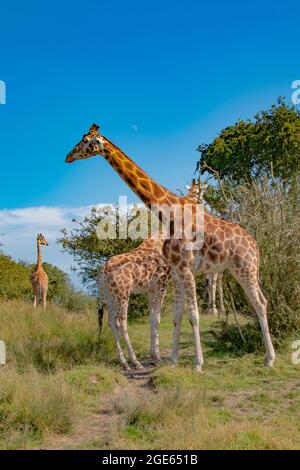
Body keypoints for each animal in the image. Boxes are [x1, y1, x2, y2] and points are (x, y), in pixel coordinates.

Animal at [66, 125, 276, 370]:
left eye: (85, 141)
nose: (68, 157)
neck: (169, 215)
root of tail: (255, 244)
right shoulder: (176, 272)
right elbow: (176, 315)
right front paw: (174, 361)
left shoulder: (184, 270)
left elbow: (191, 315)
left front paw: (197, 364)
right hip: (238, 269)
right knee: (261, 302)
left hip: (245, 267)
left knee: (260, 303)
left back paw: (269, 359)